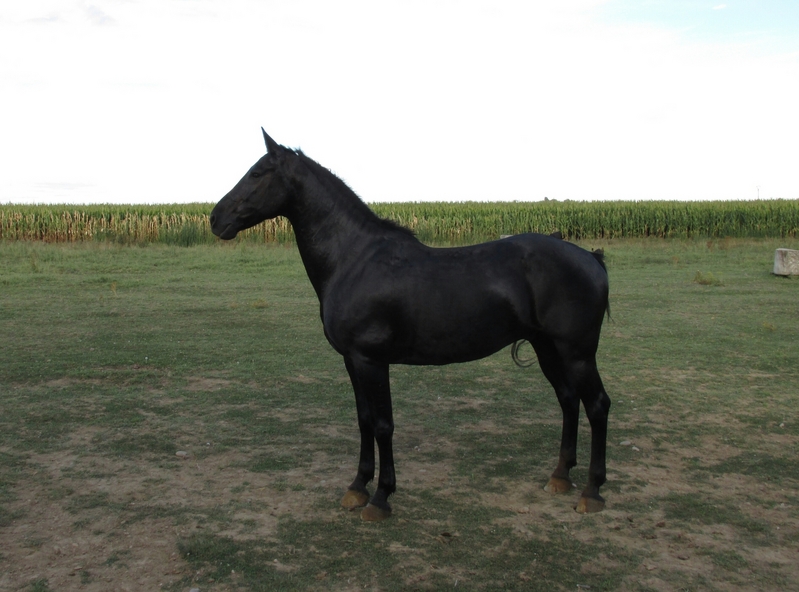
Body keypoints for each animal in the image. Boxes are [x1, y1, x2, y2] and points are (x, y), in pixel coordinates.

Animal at [210, 129, 612, 521]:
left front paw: (380, 497)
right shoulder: (352, 360)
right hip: (547, 348)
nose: (215, 218)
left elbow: (383, 424)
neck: (354, 259)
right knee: (568, 399)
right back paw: (560, 476)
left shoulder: (372, 360)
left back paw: (593, 491)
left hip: (577, 354)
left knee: (597, 405)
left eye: (256, 174)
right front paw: (357, 487)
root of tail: (590, 258)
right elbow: (364, 420)